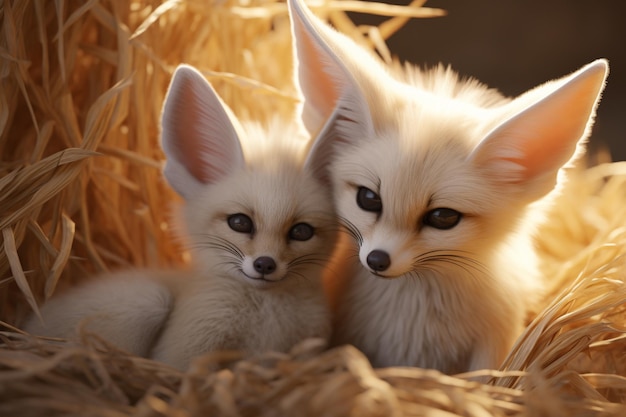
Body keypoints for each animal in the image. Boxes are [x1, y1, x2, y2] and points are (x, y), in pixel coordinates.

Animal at [24, 63, 336, 368]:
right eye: (239, 222)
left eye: (301, 231)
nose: (264, 264)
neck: (266, 317)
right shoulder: (183, 352)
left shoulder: (306, 349)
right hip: (150, 299)